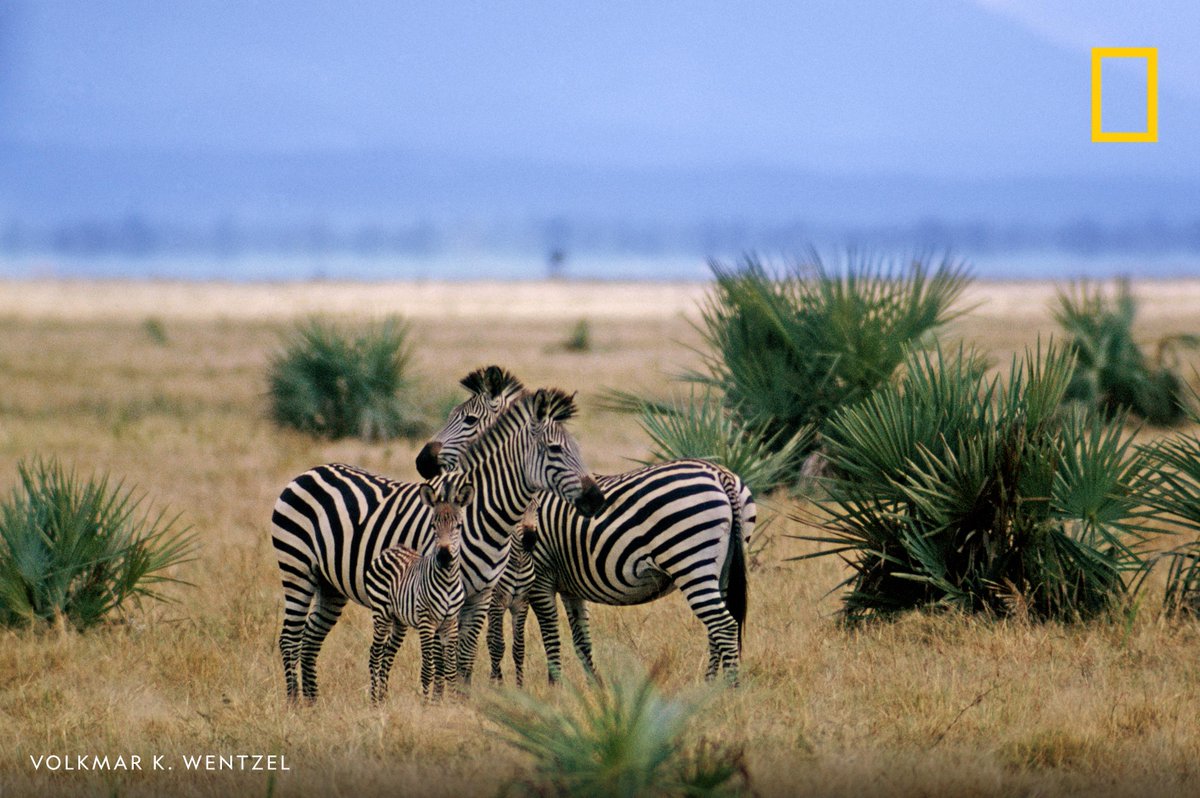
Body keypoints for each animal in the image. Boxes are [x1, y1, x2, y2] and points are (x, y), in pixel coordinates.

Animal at [363, 478, 472, 702]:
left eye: (458, 526)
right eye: (432, 526)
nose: (444, 557)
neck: (448, 581)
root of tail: (390, 549)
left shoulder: (450, 623)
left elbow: (450, 669)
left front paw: (452, 702)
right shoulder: (426, 622)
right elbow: (428, 668)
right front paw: (425, 703)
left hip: (399, 621)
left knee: (387, 654)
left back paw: (384, 697)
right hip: (381, 613)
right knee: (375, 654)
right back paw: (375, 701)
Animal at [416, 378, 756, 685]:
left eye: (469, 419)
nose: (422, 462)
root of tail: (721, 474)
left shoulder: (541, 576)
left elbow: (550, 635)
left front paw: (554, 687)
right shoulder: (570, 585)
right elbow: (581, 641)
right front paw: (595, 688)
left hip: (691, 561)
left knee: (723, 625)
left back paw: (729, 690)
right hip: (721, 567)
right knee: (717, 627)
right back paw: (710, 686)